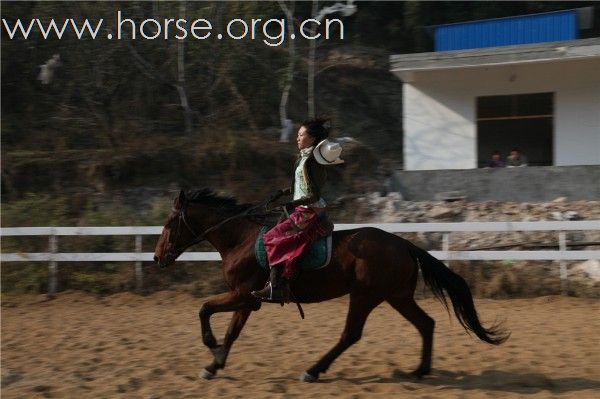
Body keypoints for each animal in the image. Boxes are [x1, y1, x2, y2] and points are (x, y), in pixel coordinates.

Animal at [154, 191, 506, 384]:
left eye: (170, 223)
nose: (157, 257)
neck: (240, 238)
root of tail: (403, 244)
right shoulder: (247, 301)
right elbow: (231, 332)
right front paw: (214, 365)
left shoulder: (243, 296)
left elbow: (205, 310)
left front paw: (211, 348)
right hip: (396, 296)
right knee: (426, 324)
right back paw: (420, 370)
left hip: (365, 295)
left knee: (350, 334)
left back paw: (314, 370)